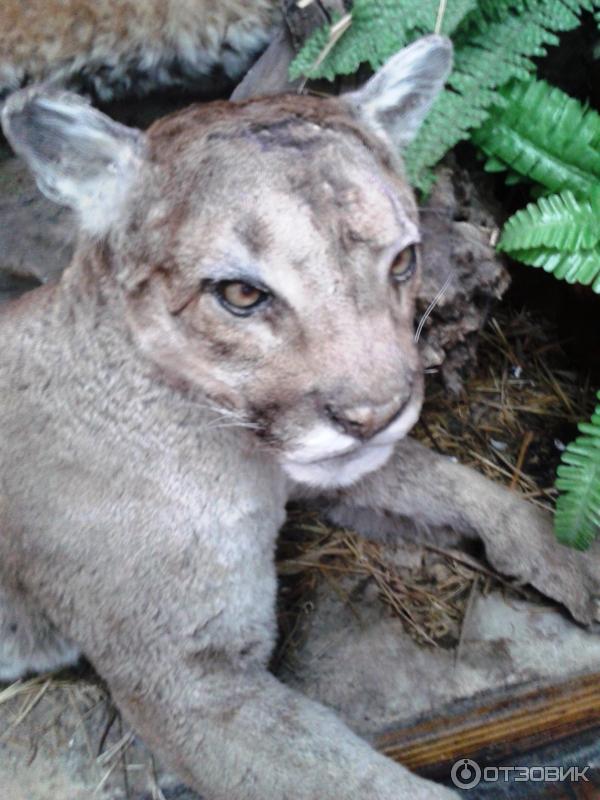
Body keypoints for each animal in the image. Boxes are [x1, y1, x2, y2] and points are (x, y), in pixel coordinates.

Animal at [1, 36, 600, 800]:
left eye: (403, 260)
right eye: (239, 295)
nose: (377, 414)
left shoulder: (316, 473)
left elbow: (462, 485)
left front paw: (577, 560)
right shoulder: (188, 678)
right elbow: (361, 782)